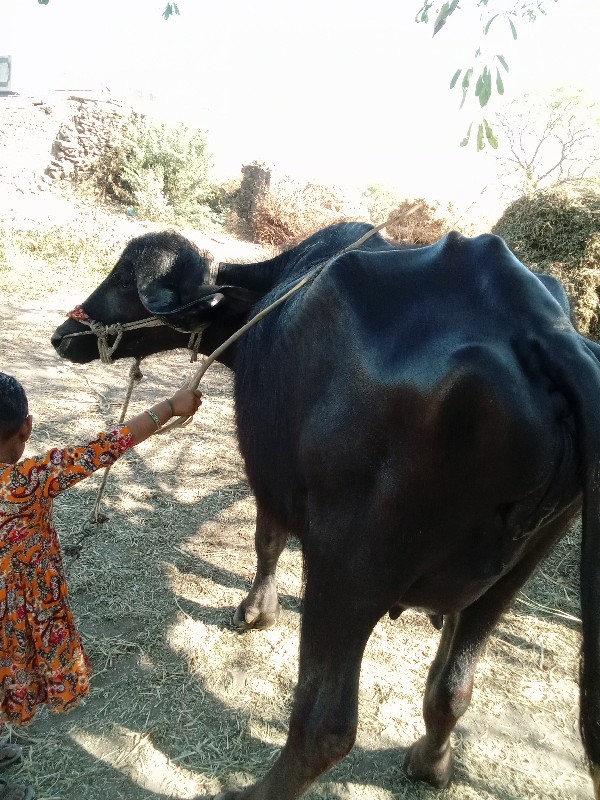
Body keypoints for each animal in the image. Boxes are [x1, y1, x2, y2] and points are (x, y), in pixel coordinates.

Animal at [50, 223, 600, 800]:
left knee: (326, 726)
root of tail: (545, 335)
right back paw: (430, 763)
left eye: (123, 280)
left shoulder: (268, 472)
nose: (63, 336)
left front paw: (256, 611)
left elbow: (267, 539)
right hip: (514, 572)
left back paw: (255, 791)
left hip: (349, 566)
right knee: (453, 687)